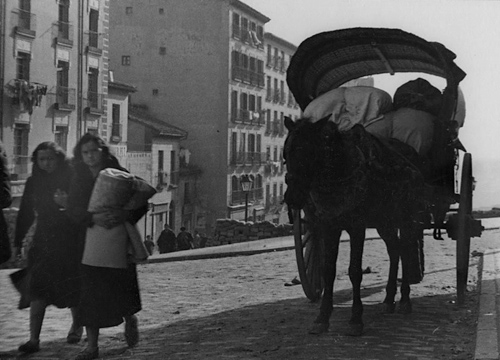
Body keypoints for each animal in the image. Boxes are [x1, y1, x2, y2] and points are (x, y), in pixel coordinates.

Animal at [284, 116, 428, 336]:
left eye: (308, 151)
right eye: (286, 154)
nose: (291, 197)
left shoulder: (357, 228)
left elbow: (355, 271)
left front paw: (356, 319)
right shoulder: (329, 227)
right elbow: (328, 270)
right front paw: (322, 317)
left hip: (406, 219)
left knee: (404, 251)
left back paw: (404, 299)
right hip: (384, 223)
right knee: (395, 250)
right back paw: (389, 299)